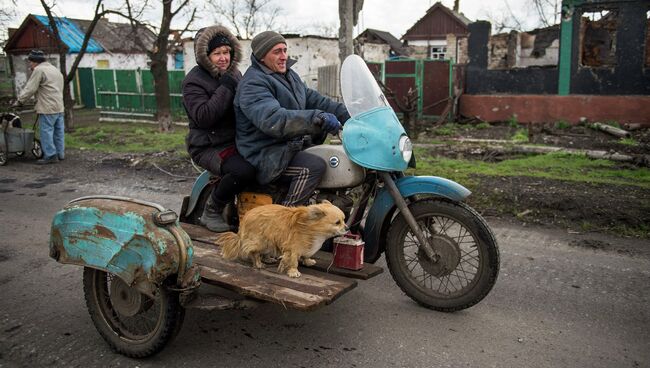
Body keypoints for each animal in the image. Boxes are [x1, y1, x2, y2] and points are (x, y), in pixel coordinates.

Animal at [218, 201, 346, 276]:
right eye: (337, 222)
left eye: (344, 220)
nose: (347, 227)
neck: (312, 228)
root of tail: (245, 218)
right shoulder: (293, 249)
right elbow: (294, 261)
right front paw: (294, 272)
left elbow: (306, 255)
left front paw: (308, 261)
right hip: (261, 242)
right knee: (254, 253)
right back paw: (259, 264)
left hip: (269, 243)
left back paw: (268, 259)